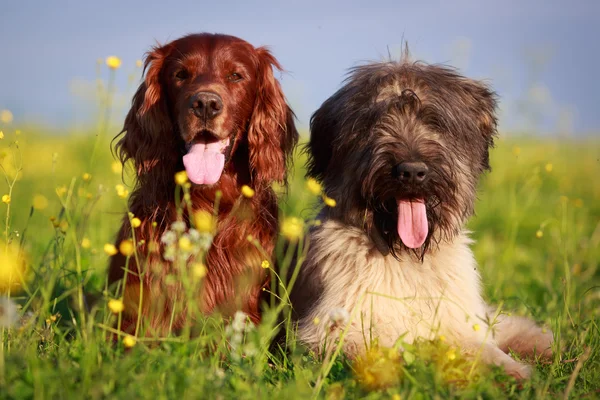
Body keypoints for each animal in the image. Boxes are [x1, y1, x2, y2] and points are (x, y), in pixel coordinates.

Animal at [290, 58, 552, 378]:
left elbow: (482, 348)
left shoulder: (456, 320)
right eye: (374, 124)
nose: (412, 172)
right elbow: (386, 352)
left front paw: (515, 373)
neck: (406, 256)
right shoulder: (337, 327)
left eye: (434, 122)